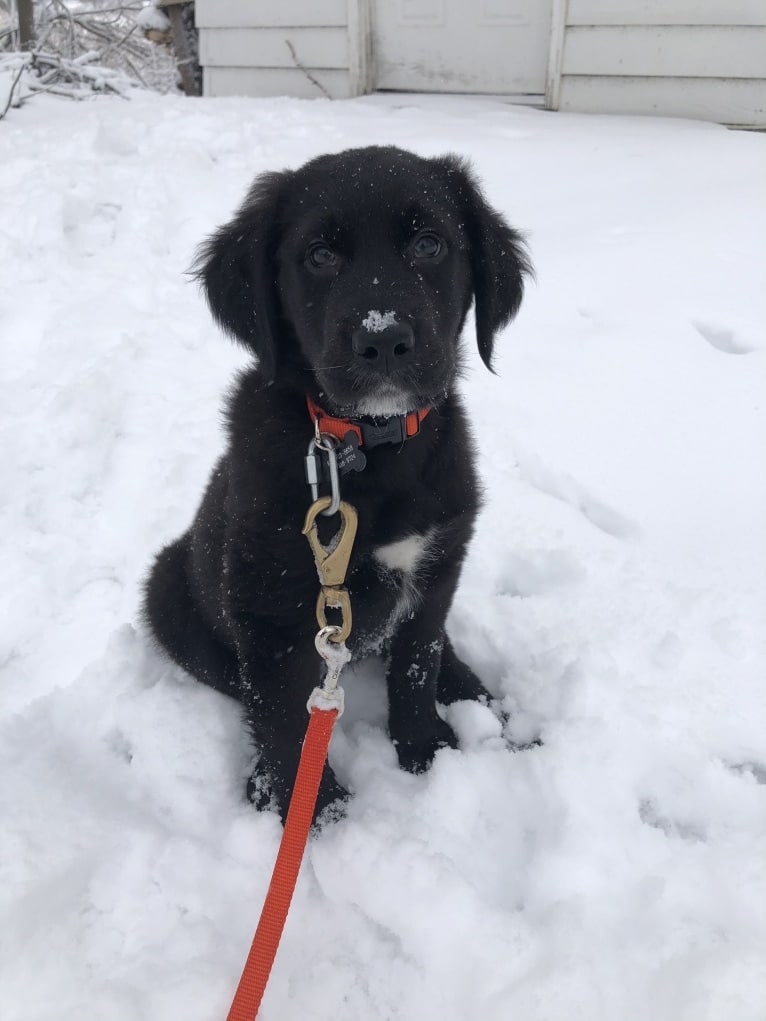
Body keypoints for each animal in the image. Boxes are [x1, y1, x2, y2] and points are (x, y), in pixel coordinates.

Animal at [147, 146, 535, 820]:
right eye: (320, 256)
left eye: (430, 245)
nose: (384, 339)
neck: (366, 450)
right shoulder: (269, 611)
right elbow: (283, 716)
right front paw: (316, 813)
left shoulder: (435, 570)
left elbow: (416, 664)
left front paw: (426, 750)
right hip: (169, 592)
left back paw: (476, 693)